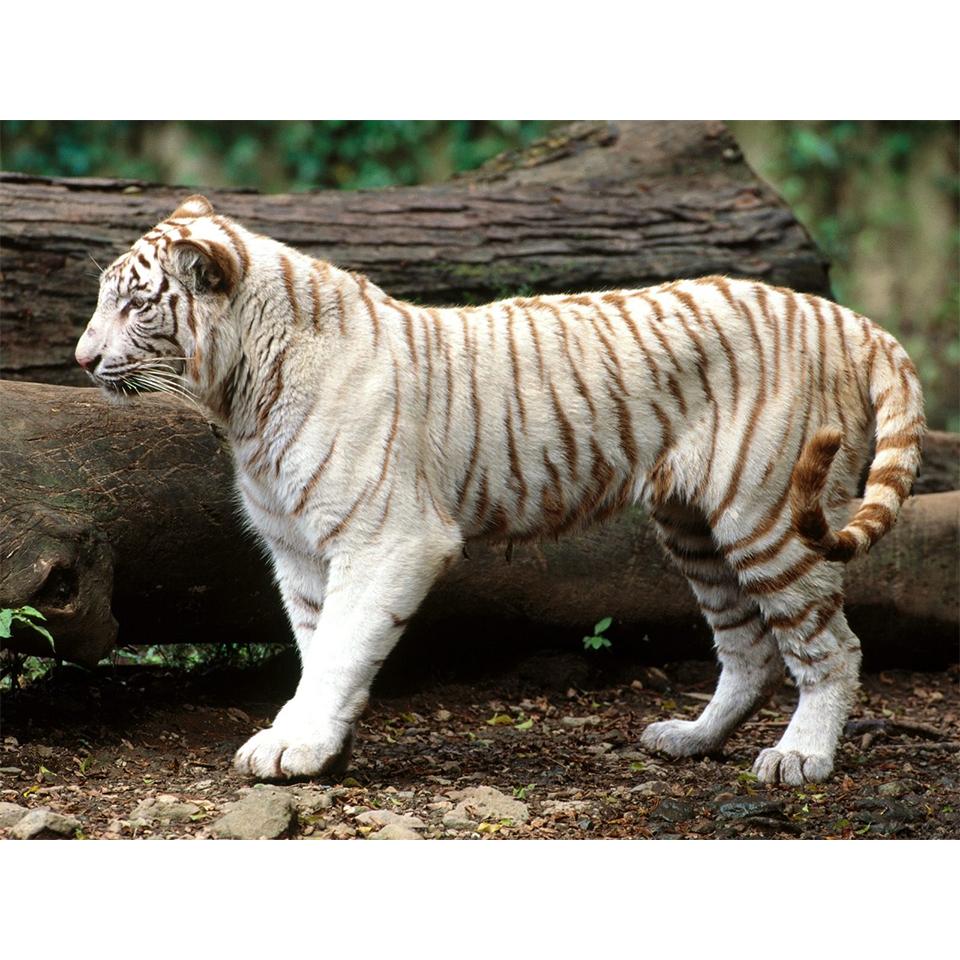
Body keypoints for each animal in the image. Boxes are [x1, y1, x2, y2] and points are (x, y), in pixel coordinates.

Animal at [75, 194, 925, 786]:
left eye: (136, 303)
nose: (82, 359)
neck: (241, 394)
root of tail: (845, 317)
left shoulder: (388, 538)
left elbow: (343, 645)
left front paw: (297, 746)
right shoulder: (300, 550)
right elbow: (319, 648)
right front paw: (317, 747)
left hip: (770, 514)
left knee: (829, 648)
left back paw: (799, 759)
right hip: (692, 525)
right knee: (748, 648)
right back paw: (689, 740)